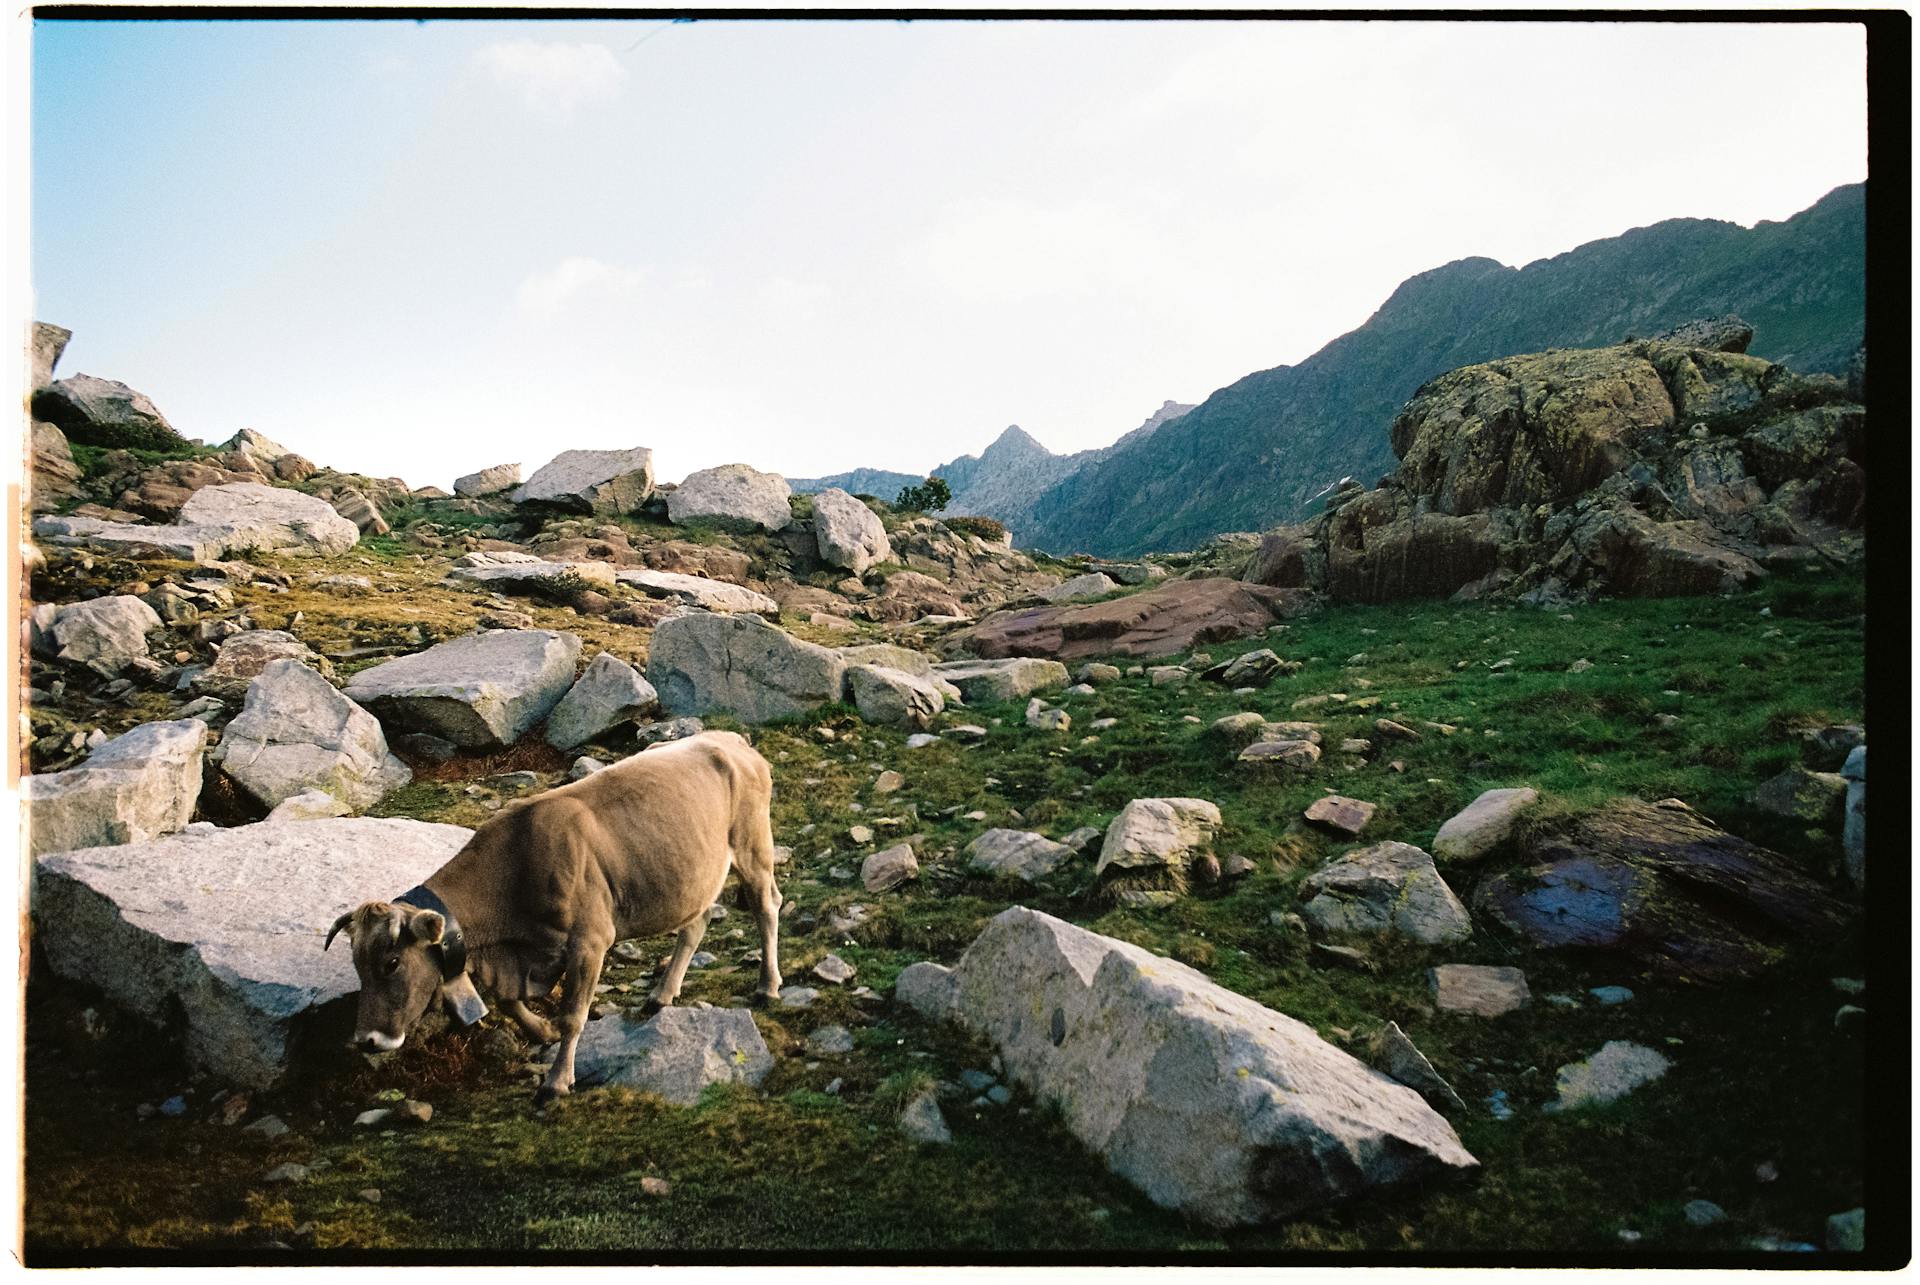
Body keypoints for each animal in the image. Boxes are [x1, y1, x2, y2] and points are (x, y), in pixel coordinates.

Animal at [328, 726, 779, 1098]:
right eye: (357, 964)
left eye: (391, 962)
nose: (367, 1040)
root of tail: (730, 740)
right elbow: (507, 1000)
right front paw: (540, 1030)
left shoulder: (590, 942)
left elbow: (573, 1016)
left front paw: (557, 1081)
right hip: (694, 874)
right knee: (697, 922)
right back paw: (661, 994)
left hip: (752, 845)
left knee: (766, 906)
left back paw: (767, 985)